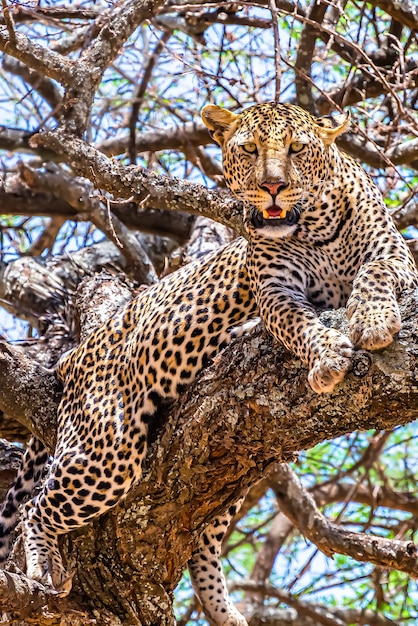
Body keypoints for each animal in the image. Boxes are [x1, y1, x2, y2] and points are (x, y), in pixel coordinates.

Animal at [0, 101, 416, 624]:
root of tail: (75, 353)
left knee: (204, 535)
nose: (273, 186)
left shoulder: (397, 258)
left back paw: (224, 611)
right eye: (249, 150)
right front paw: (327, 355)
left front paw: (375, 320)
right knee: (35, 507)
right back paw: (43, 567)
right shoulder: (275, 290)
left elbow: (375, 272)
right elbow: (296, 324)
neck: (318, 226)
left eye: (297, 149)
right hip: (106, 449)